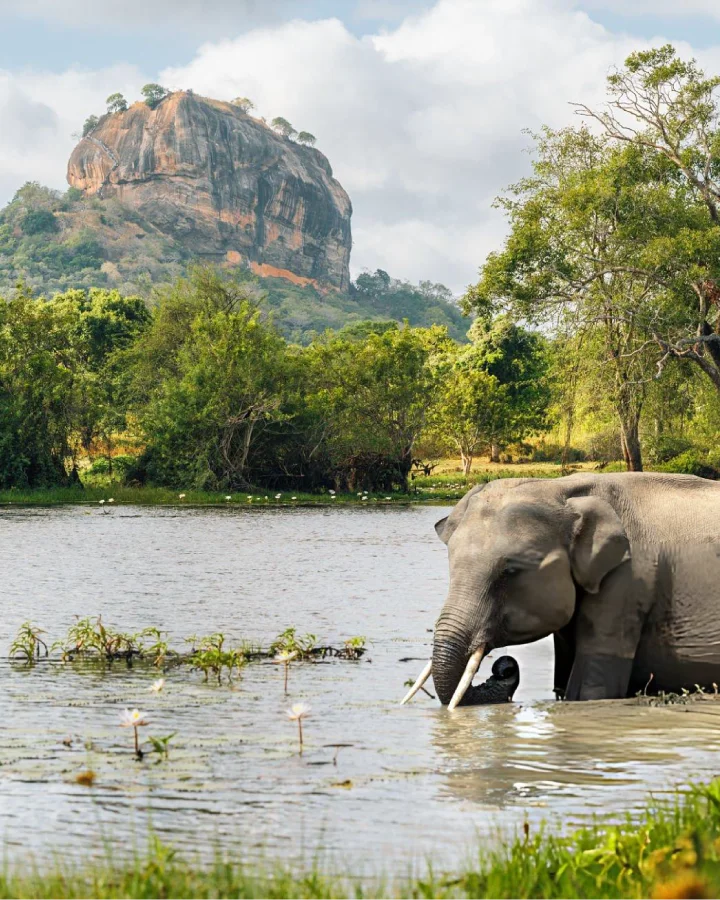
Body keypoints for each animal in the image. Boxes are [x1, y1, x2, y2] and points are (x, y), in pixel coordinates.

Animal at [401, 473, 720, 708]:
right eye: (451, 564)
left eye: (510, 572)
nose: (505, 666)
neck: (563, 488)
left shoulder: (629, 581)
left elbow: (591, 690)